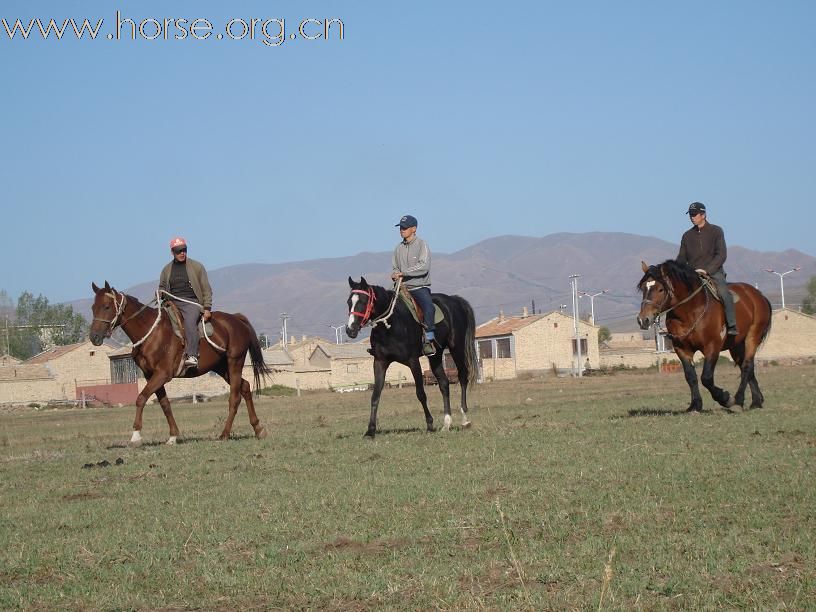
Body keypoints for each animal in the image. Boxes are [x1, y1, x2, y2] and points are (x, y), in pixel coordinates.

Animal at [89, 282, 272, 444]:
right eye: (93, 307)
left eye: (106, 306)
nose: (94, 337)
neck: (152, 333)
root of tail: (236, 319)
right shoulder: (151, 375)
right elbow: (165, 404)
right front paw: (173, 436)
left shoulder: (162, 374)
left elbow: (141, 398)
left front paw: (136, 436)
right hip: (222, 367)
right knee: (245, 387)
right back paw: (258, 429)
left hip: (235, 363)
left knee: (234, 398)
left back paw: (225, 434)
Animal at [344, 274, 478, 438]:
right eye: (349, 302)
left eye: (363, 302)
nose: (350, 330)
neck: (390, 325)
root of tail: (454, 300)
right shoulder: (380, 362)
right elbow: (375, 396)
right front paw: (370, 430)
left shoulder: (413, 361)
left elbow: (420, 393)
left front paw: (430, 424)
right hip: (435, 355)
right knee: (444, 383)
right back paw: (446, 423)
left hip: (456, 348)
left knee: (463, 377)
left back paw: (465, 419)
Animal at [636, 260, 772, 412]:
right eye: (643, 288)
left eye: (660, 289)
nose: (643, 320)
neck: (690, 311)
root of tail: (758, 295)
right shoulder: (682, 349)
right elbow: (691, 377)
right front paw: (695, 405)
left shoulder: (712, 347)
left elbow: (706, 378)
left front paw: (726, 399)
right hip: (736, 345)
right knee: (746, 367)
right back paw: (756, 401)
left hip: (752, 337)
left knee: (747, 366)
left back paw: (738, 400)